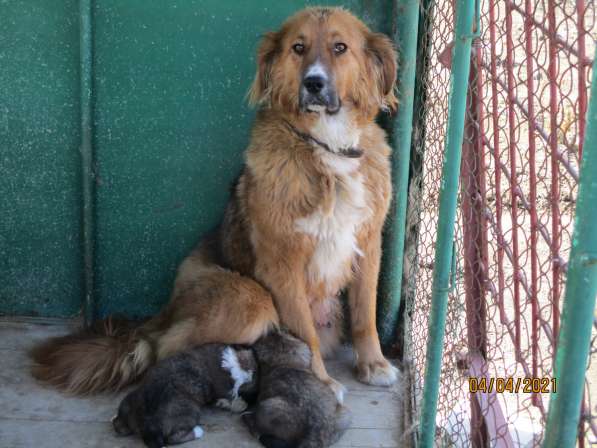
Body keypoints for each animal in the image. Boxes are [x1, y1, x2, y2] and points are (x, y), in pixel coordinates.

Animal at [30, 6, 398, 400]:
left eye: (340, 47)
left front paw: (373, 364)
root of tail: (166, 307)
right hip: (249, 300)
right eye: (298, 48)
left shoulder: (368, 243)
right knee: (162, 348)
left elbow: (365, 314)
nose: (313, 83)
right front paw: (320, 382)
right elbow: (303, 331)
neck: (328, 145)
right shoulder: (282, 261)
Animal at [112, 344, 256, 446]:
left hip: (129, 402)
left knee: (118, 425)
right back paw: (198, 431)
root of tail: (146, 425)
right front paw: (237, 403)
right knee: (173, 438)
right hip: (189, 412)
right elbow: (234, 399)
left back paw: (115, 419)